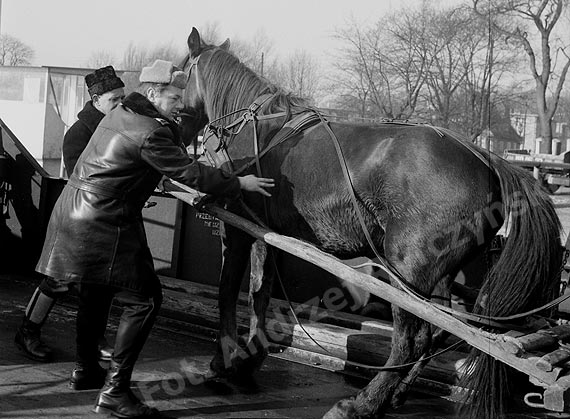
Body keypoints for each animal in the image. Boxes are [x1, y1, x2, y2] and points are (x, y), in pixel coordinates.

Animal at [180, 27, 560, 419]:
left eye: (179, 73)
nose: (178, 120)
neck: (256, 129)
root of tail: (486, 158)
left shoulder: (238, 229)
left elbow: (228, 292)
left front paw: (223, 361)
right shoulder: (265, 234)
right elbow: (260, 293)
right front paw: (248, 360)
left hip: (407, 267)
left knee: (411, 339)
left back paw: (363, 403)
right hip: (438, 272)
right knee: (438, 331)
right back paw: (395, 393)